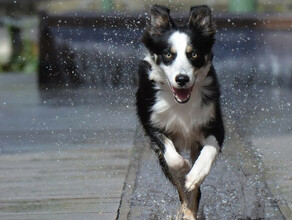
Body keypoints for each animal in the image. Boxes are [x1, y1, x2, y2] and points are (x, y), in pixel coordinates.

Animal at [136, 5, 225, 220]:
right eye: (168, 55)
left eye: (194, 55)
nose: (182, 79)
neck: (181, 104)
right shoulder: (151, 123)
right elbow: (174, 160)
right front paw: (185, 167)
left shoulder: (214, 123)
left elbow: (209, 150)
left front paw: (194, 174)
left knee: (194, 192)